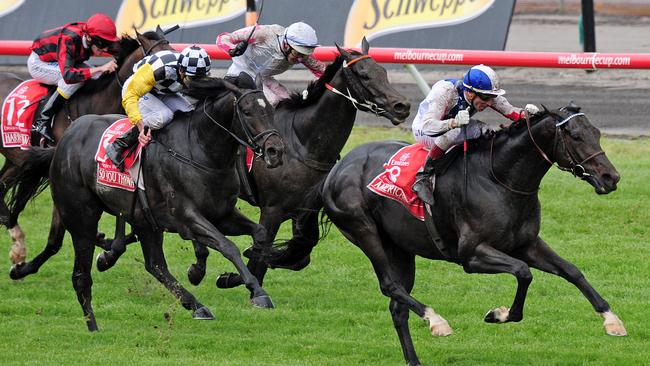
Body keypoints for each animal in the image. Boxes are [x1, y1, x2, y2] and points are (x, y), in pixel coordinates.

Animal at [13, 76, 282, 330]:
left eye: (270, 109)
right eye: (247, 111)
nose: (275, 151)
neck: (200, 150)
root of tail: (62, 143)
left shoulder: (222, 213)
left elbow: (259, 234)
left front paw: (244, 271)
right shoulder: (186, 216)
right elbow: (228, 246)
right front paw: (258, 291)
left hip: (144, 220)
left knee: (155, 265)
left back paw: (196, 306)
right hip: (81, 218)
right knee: (82, 274)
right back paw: (93, 325)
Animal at [187, 38, 408, 288]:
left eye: (383, 71)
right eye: (364, 75)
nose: (402, 106)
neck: (303, 142)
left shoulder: (305, 207)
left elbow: (300, 253)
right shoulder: (272, 209)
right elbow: (259, 259)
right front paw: (233, 277)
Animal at [318, 105, 624, 366]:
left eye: (597, 133)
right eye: (575, 136)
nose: (611, 177)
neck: (499, 178)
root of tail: (335, 171)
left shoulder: (526, 244)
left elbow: (572, 271)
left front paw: (612, 320)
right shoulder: (472, 255)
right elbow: (523, 273)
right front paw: (498, 314)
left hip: (400, 248)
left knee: (397, 305)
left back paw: (414, 359)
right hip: (364, 230)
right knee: (389, 286)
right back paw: (436, 321)